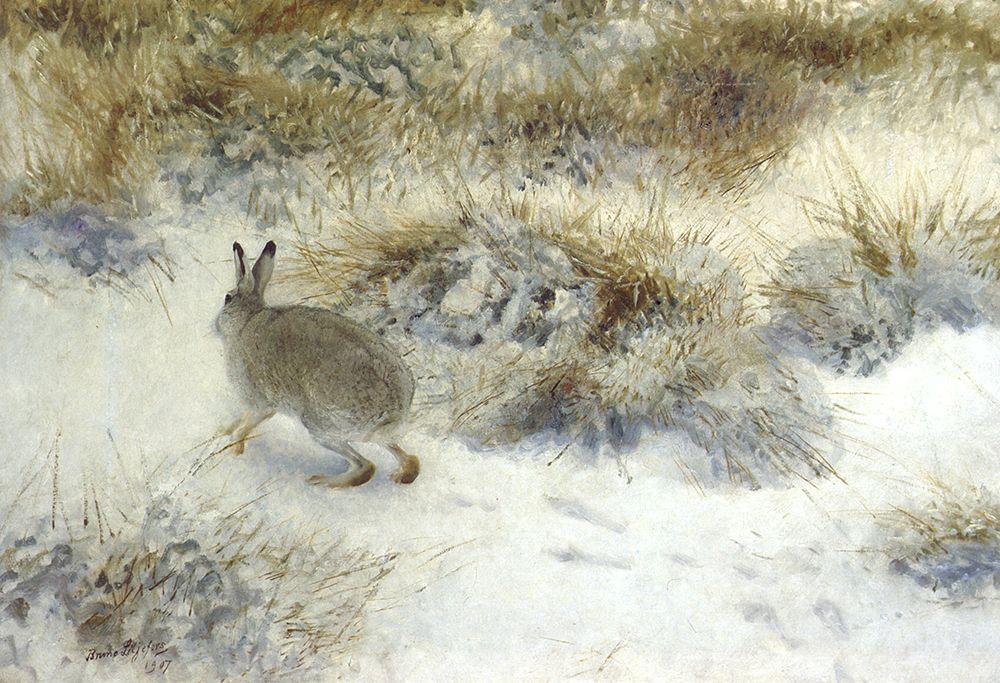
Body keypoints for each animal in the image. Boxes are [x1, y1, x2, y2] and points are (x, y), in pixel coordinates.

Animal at [216, 240, 419, 487]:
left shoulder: (260, 403)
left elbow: (246, 426)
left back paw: (320, 482)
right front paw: (221, 432)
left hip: (319, 424)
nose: (215, 324)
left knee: (366, 467)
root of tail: (395, 412)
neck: (246, 321)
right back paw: (398, 475)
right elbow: (239, 421)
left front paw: (233, 452)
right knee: (409, 461)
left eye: (227, 298)